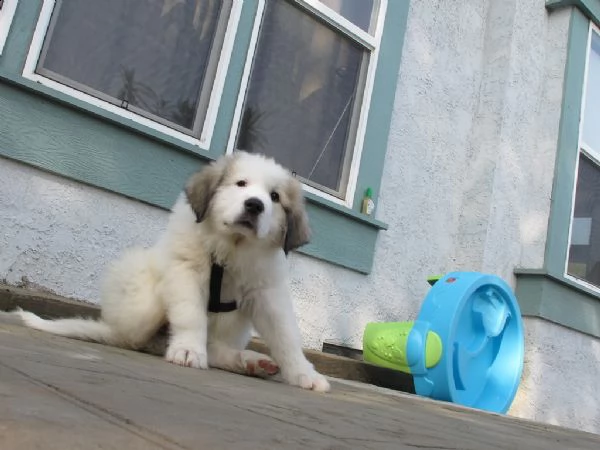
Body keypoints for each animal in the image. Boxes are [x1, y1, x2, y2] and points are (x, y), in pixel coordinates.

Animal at [15, 151, 328, 390]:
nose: (254, 205)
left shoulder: (267, 292)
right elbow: (191, 316)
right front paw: (188, 350)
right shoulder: (185, 272)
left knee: (213, 346)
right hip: (143, 301)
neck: (231, 248)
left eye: (274, 197)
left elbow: (286, 335)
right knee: (134, 338)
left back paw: (250, 361)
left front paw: (305, 374)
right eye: (241, 184)